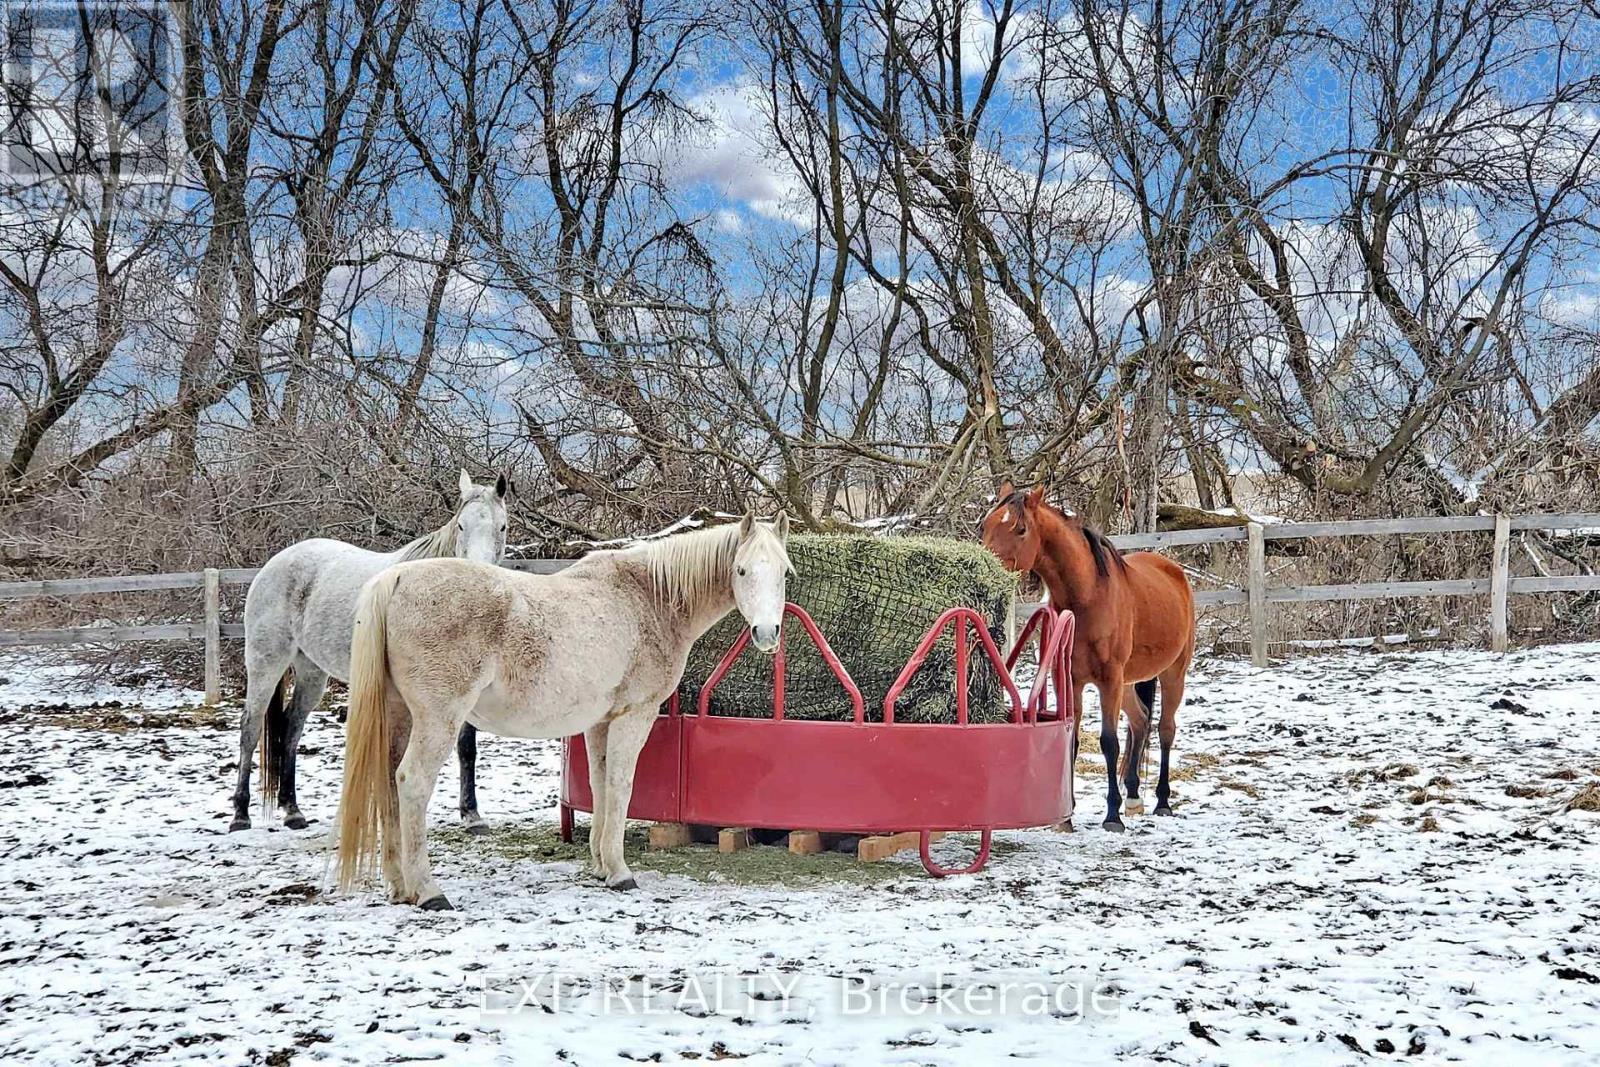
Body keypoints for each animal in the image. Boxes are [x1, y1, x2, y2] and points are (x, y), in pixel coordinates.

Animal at [228, 473, 505, 831]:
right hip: (266, 662)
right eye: (461, 525)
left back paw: (292, 810)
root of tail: (276, 563)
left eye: (502, 526)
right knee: (250, 727)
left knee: (291, 727)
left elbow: (466, 748)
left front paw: (471, 814)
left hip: (311, 671)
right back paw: (240, 814)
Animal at [332, 515, 793, 908]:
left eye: (785, 572)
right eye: (741, 571)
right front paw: (621, 873)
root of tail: (396, 578)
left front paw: (602, 867)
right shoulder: (634, 717)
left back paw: (398, 886)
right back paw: (428, 891)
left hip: (401, 717)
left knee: (388, 785)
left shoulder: (600, 724)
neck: (648, 599)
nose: (766, 633)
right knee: (411, 783)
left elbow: (600, 785)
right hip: (437, 720)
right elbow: (621, 787)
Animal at [979, 486, 1196, 831]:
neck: (1088, 596)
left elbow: (1109, 742)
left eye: (1021, 528)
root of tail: (1172, 570)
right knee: (1140, 720)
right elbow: (1073, 739)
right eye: (984, 526)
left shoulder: (1109, 679)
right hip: (1128, 682)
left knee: (1165, 729)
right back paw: (1133, 797)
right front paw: (1065, 818)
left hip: (1172, 673)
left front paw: (1112, 816)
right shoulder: (1069, 679)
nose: (988, 573)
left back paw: (1162, 801)